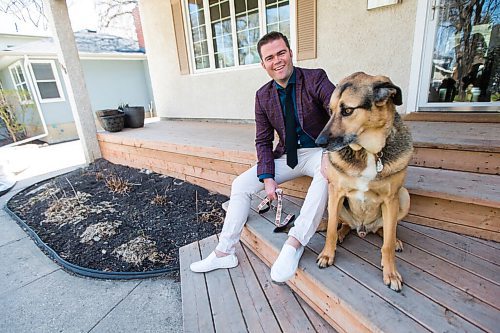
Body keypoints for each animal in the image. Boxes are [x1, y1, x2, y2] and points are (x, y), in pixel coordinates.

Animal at [314, 72, 412, 290]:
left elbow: (387, 245)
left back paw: (392, 238)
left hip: (403, 197)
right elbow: (331, 230)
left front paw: (391, 272)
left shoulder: (391, 199)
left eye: (348, 111)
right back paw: (342, 233)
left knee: (386, 230)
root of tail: (362, 229)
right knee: (343, 224)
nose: (319, 142)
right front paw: (327, 254)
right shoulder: (336, 191)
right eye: (330, 110)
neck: (368, 151)